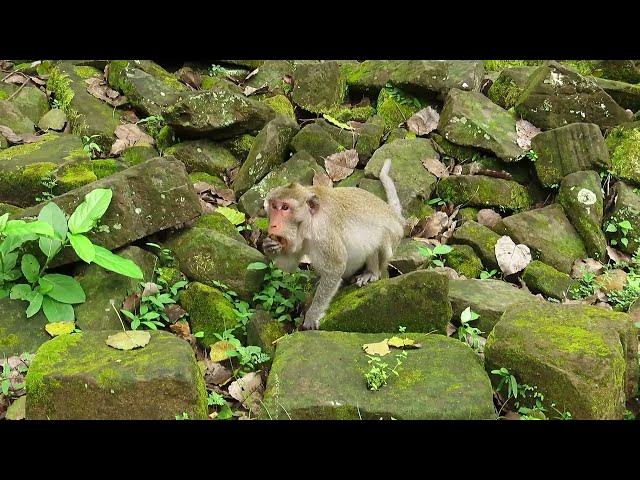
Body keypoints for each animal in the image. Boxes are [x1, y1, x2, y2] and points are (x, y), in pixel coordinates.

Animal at [262, 158, 405, 330]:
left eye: (285, 207)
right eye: (274, 206)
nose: (273, 225)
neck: (310, 222)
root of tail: (395, 216)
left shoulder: (324, 232)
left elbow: (335, 267)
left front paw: (312, 315)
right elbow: (288, 266)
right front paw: (269, 247)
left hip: (394, 235)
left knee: (380, 239)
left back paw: (372, 272)